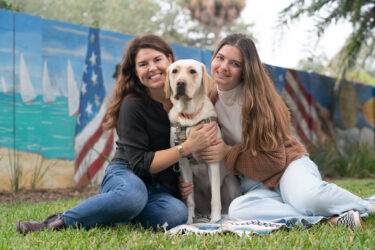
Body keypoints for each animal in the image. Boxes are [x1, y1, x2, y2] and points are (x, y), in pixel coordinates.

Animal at [164, 59, 241, 224]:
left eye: (192, 71)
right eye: (174, 71)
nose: (180, 83)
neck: (189, 117)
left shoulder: (212, 158)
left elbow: (215, 197)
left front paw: (215, 220)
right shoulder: (184, 164)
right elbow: (189, 200)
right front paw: (188, 221)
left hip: (231, 183)